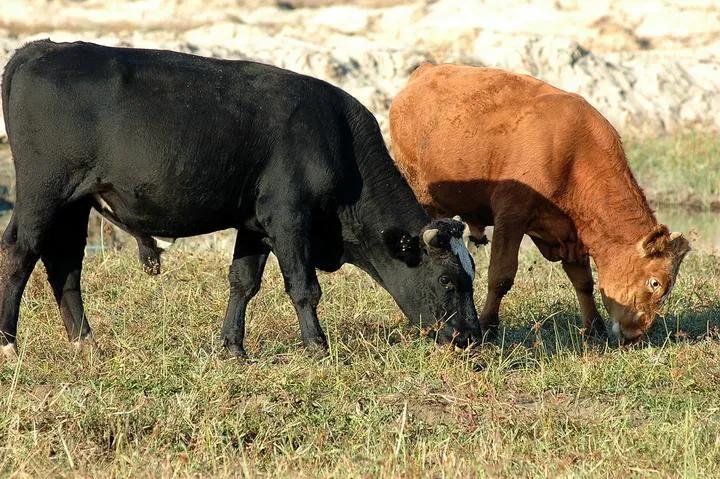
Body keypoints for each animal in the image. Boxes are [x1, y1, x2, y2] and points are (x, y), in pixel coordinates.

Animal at [2, 41, 480, 358]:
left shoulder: (255, 224)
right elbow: (304, 287)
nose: (474, 338)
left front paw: (233, 347)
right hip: (43, 192)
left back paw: (85, 340)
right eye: (446, 280)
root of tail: (41, 49)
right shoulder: (289, 217)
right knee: (20, 253)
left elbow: (242, 283)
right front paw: (317, 346)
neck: (337, 140)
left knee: (64, 262)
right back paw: (9, 342)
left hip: (75, 202)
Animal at [390, 64, 688, 342]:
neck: (573, 157)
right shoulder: (511, 217)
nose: (636, 333)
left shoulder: (572, 234)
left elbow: (584, 282)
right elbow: (501, 277)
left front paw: (594, 328)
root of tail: (425, 70)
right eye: (655, 283)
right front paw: (488, 326)